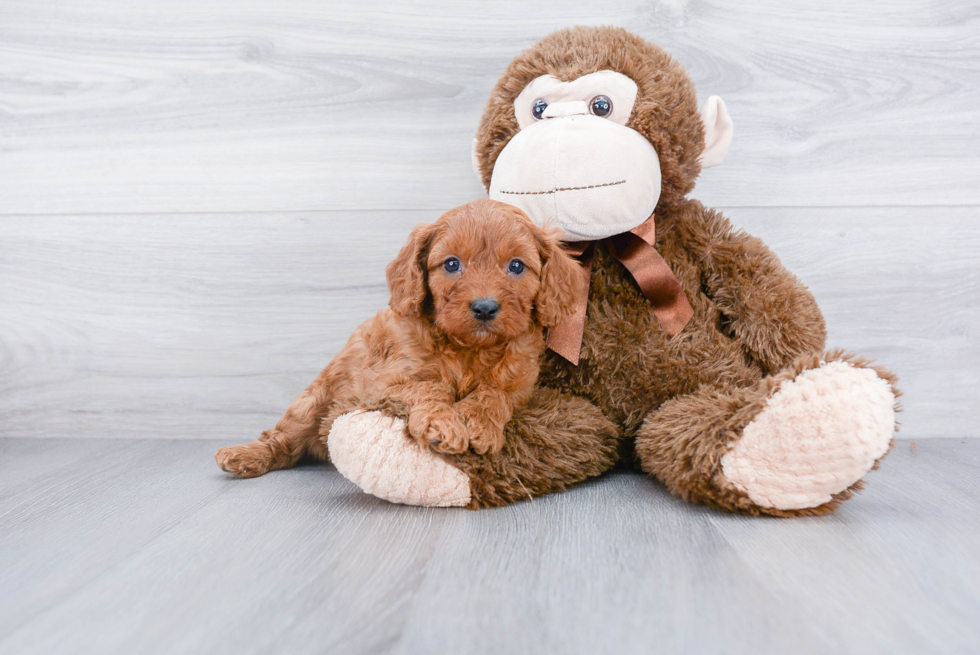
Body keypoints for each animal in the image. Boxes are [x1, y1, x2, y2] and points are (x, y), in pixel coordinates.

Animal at [215, 197, 580, 480]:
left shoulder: (521, 385)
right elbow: (429, 386)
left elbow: (495, 393)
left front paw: (477, 422)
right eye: (452, 264)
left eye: (517, 266)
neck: (469, 349)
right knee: (282, 442)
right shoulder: (383, 381)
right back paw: (244, 456)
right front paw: (442, 423)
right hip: (311, 402)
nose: (485, 307)